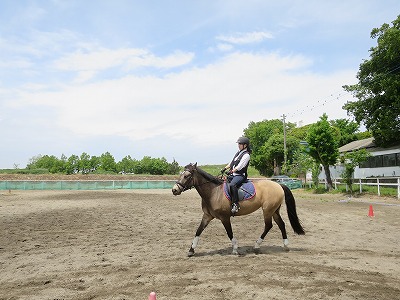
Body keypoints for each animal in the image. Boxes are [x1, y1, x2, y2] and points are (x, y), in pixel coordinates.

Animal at [170, 163, 304, 256]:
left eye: (187, 176)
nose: (174, 190)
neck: (213, 192)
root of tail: (278, 185)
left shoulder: (224, 217)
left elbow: (229, 232)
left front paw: (235, 249)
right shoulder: (207, 216)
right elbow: (198, 231)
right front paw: (191, 250)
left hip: (267, 210)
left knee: (268, 225)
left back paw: (257, 246)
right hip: (274, 210)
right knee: (281, 224)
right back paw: (285, 246)